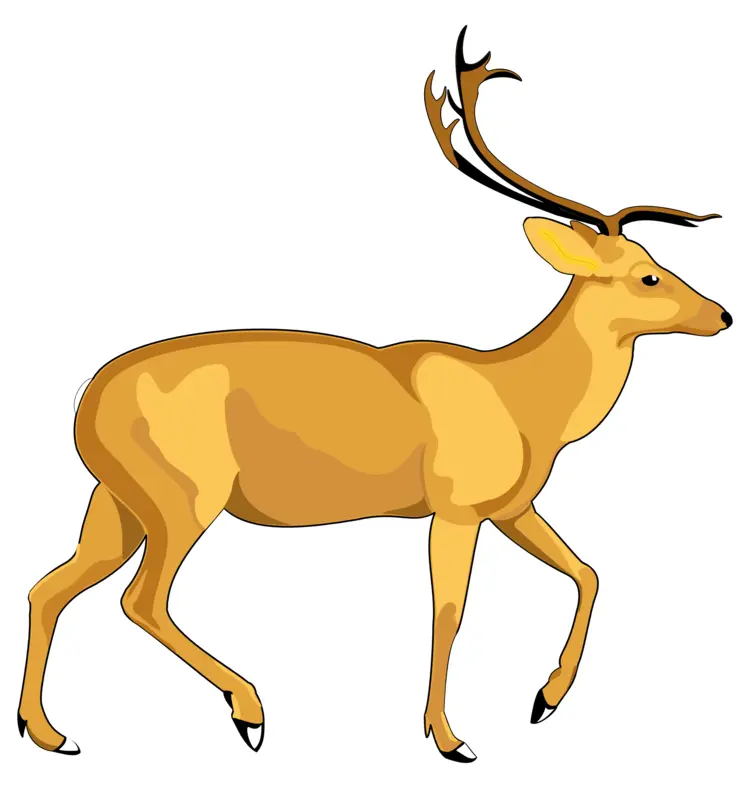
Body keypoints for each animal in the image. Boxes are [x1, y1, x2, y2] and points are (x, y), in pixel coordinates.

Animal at [18, 26, 731, 764]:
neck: (523, 400)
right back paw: (250, 713)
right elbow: (451, 611)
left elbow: (587, 571)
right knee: (140, 600)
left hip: (117, 501)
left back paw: (50, 733)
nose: (723, 315)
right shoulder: (456, 507)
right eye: (649, 276)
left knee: (49, 587)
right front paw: (450, 739)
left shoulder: (511, 507)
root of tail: (84, 404)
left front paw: (543, 701)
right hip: (183, 497)